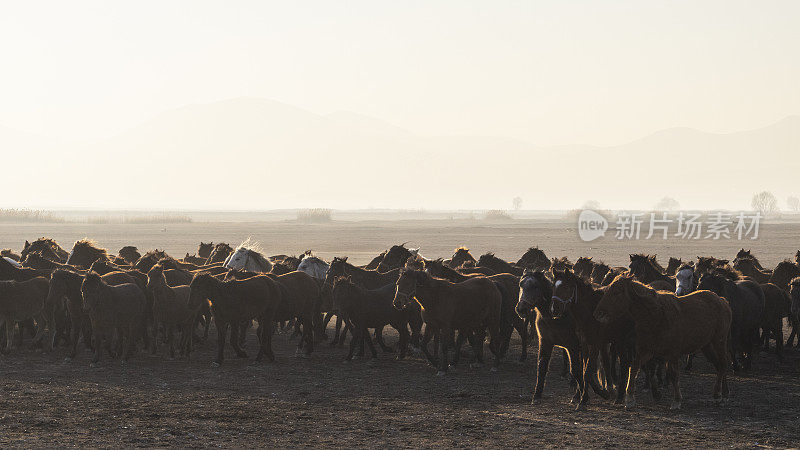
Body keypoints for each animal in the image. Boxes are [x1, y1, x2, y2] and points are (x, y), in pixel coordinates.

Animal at [592, 276, 732, 410]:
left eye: (616, 292)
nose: (598, 313)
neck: (657, 316)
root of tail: (722, 300)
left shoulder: (673, 353)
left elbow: (674, 375)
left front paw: (676, 401)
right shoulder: (646, 350)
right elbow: (634, 368)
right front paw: (630, 399)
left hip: (719, 341)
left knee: (723, 364)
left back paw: (719, 395)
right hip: (707, 346)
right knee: (719, 365)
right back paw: (721, 394)